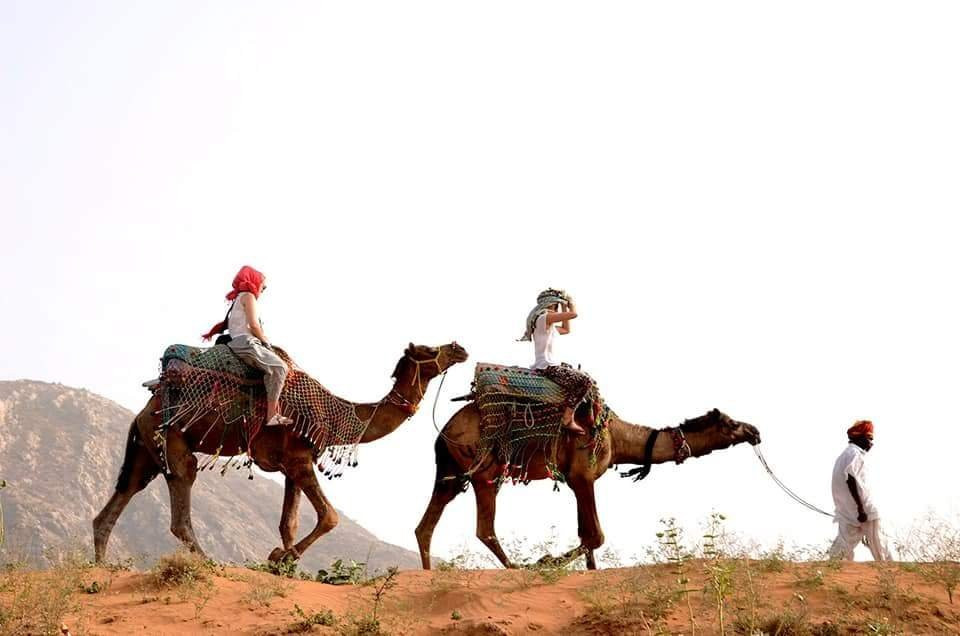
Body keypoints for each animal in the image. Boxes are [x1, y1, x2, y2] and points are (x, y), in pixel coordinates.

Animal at [94, 340, 468, 564]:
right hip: (172, 439)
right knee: (181, 506)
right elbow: (329, 517)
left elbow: (288, 523)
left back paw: (101, 570)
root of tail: (142, 411)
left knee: (118, 501)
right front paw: (282, 558)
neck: (337, 415)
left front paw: (285, 566)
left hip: (145, 451)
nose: (459, 347)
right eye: (428, 347)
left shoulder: (290, 466)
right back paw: (213, 564)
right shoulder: (299, 459)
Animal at [416, 400, 760, 568]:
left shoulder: (576, 480)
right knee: (484, 528)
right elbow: (596, 536)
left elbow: (587, 536)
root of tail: (443, 430)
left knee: (426, 527)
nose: (755, 431)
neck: (618, 436)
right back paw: (519, 567)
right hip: (484, 468)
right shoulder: (583, 474)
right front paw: (546, 561)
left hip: (451, 471)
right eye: (731, 424)